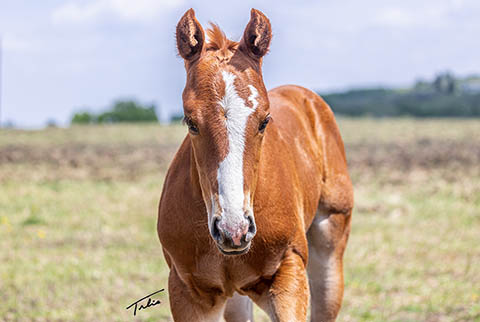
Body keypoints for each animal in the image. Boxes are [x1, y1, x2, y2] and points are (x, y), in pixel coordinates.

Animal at [158, 8, 352, 320]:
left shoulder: (288, 272)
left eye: (264, 120)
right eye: (190, 122)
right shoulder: (190, 292)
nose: (234, 230)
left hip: (330, 250)